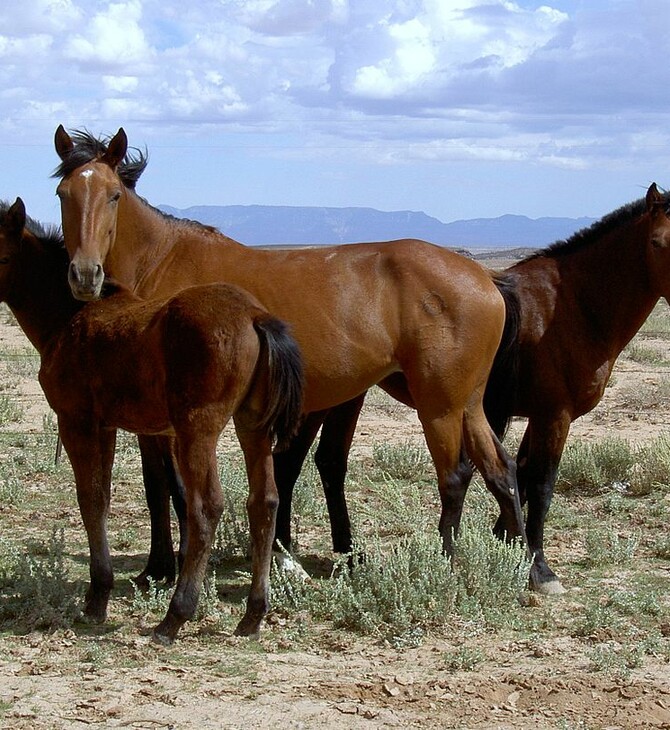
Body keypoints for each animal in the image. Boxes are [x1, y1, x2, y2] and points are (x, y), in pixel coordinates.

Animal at [0, 196, 304, 640]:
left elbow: (90, 499)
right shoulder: (106, 426)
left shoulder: (76, 422)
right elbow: (102, 499)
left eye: (0, 254)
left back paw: (175, 616)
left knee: (206, 507)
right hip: (253, 426)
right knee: (264, 502)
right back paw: (252, 615)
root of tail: (254, 316)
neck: (69, 318)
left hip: (198, 429)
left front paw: (96, 599)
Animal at [52, 125, 528, 580]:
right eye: (63, 194)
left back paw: (448, 564)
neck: (163, 265)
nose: (84, 275)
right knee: (500, 469)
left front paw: (168, 569)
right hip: (468, 403)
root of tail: (486, 277)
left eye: (114, 195)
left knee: (454, 476)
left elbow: (170, 489)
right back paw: (530, 567)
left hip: (439, 405)